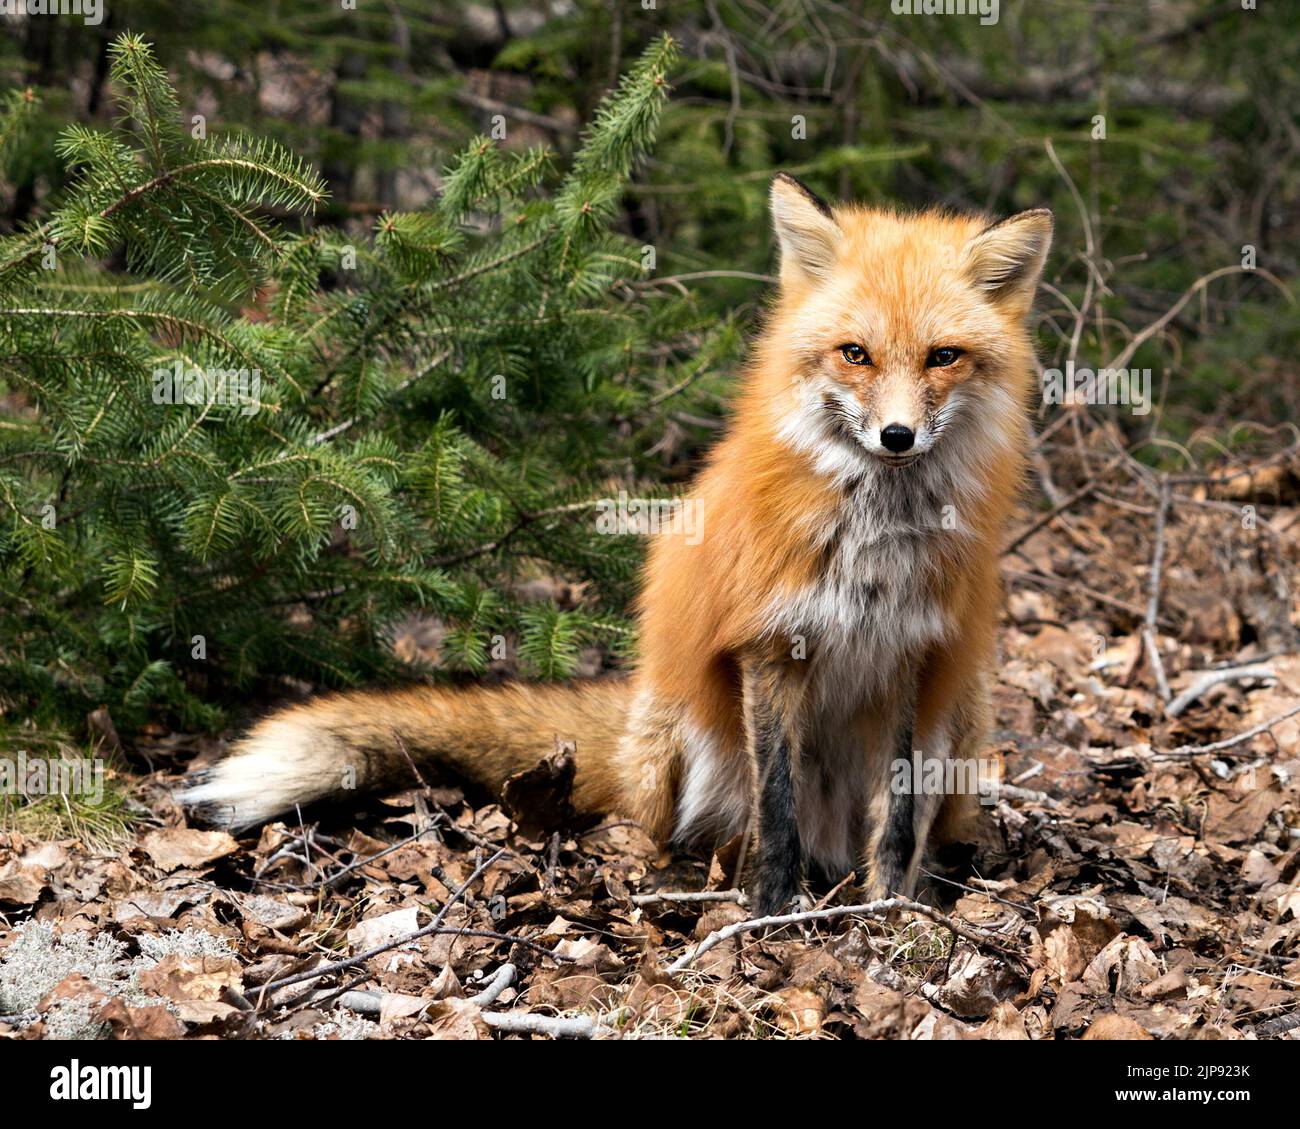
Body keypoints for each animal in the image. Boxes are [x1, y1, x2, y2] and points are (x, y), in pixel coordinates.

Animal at [183, 176, 1050, 915]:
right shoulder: (770, 646)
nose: (897, 436)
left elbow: (897, 816)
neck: (874, 543)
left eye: (943, 356)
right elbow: (775, 805)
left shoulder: (913, 656)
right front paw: (774, 911)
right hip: (681, 738)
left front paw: (890, 910)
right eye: (855, 354)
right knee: (669, 829)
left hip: (963, 715)